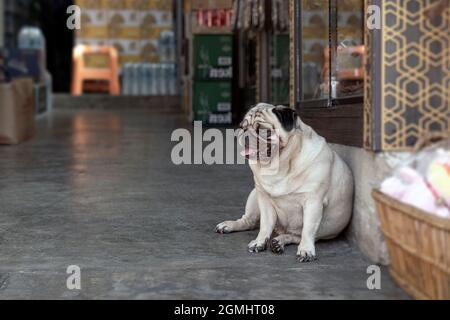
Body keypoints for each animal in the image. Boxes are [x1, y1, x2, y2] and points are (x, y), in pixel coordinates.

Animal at [216, 104, 354, 262]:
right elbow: (265, 225)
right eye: (242, 127)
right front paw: (259, 242)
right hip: (254, 196)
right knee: (249, 221)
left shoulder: (313, 202)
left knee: (295, 236)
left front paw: (306, 250)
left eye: (263, 130)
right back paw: (230, 225)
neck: (280, 165)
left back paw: (279, 242)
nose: (244, 135)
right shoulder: (264, 199)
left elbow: (308, 229)